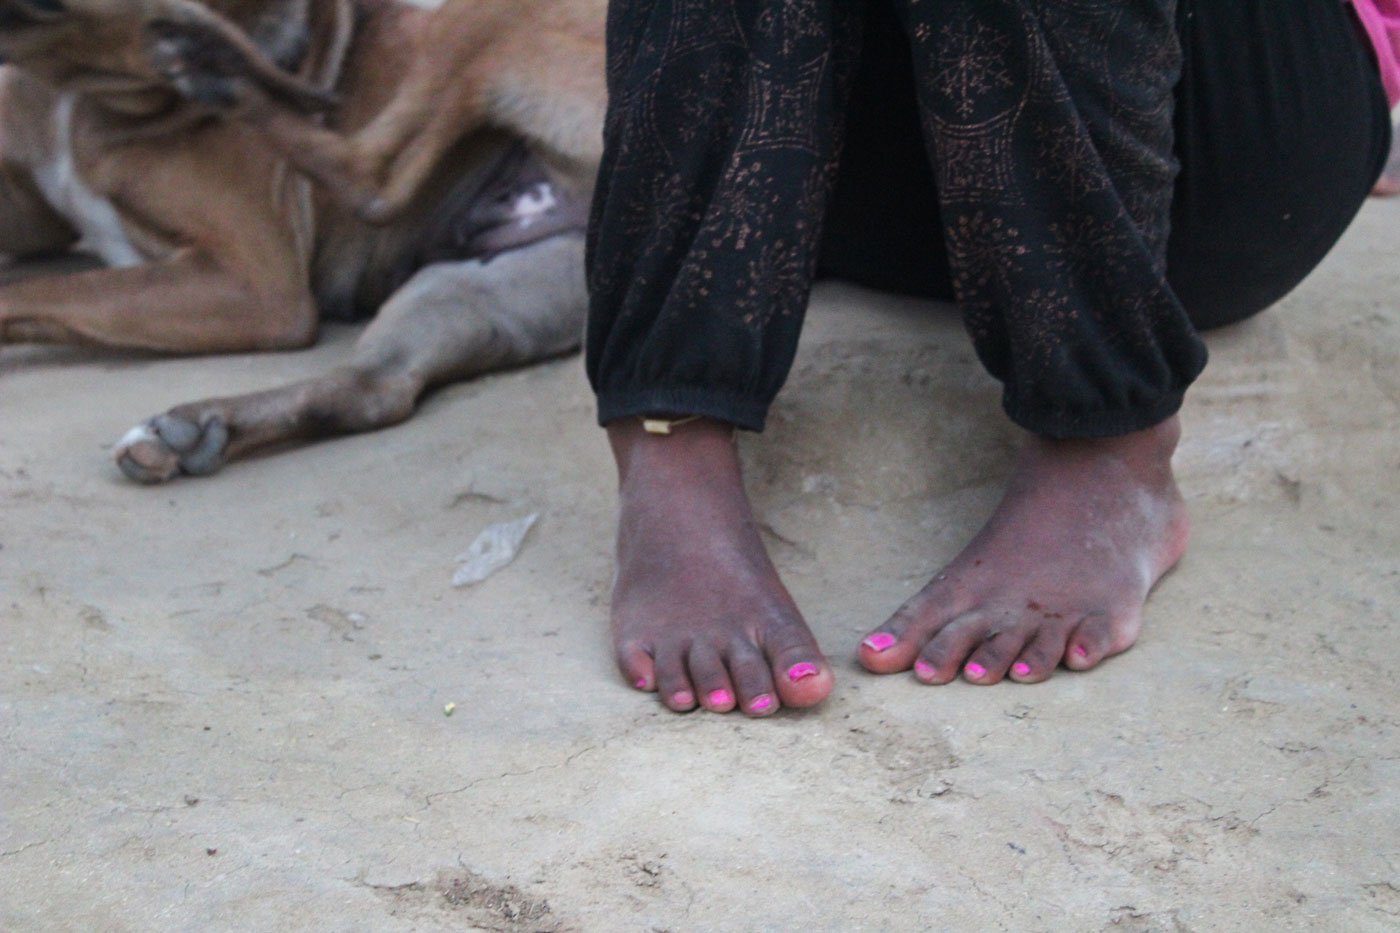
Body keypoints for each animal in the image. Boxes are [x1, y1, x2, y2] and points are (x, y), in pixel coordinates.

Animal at [0, 0, 607, 479]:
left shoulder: (255, 282)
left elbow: (36, 292)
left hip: (487, 16)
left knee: (371, 178)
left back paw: (229, 79)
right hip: (473, 288)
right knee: (375, 390)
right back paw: (194, 428)